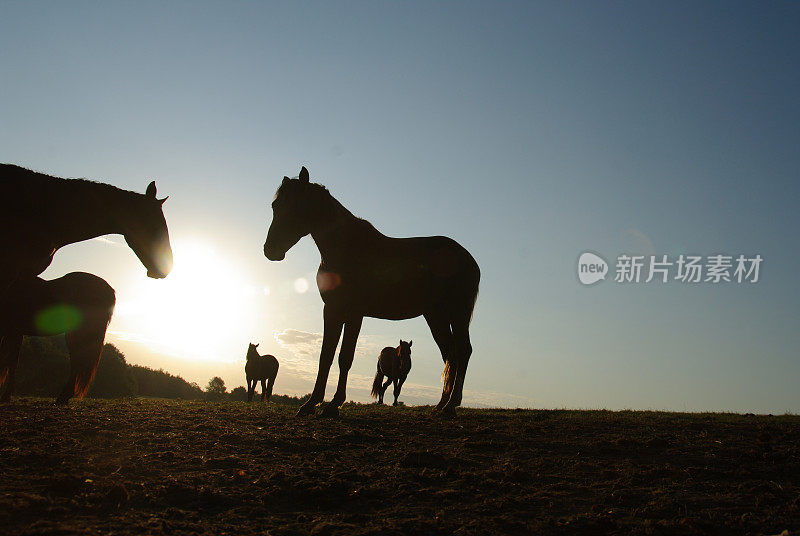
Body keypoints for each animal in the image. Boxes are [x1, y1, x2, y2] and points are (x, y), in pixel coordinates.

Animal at [262, 165, 478, 416]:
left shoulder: (355, 313)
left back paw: (452, 404)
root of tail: (467, 257)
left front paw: (334, 405)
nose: (270, 250)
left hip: (458, 312)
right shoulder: (332, 310)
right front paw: (311, 403)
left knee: (462, 351)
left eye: (297, 205)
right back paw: (441, 404)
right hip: (435, 315)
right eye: (275, 205)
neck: (346, 248)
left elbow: (345, 357)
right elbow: (325, 356)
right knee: (450, 353)